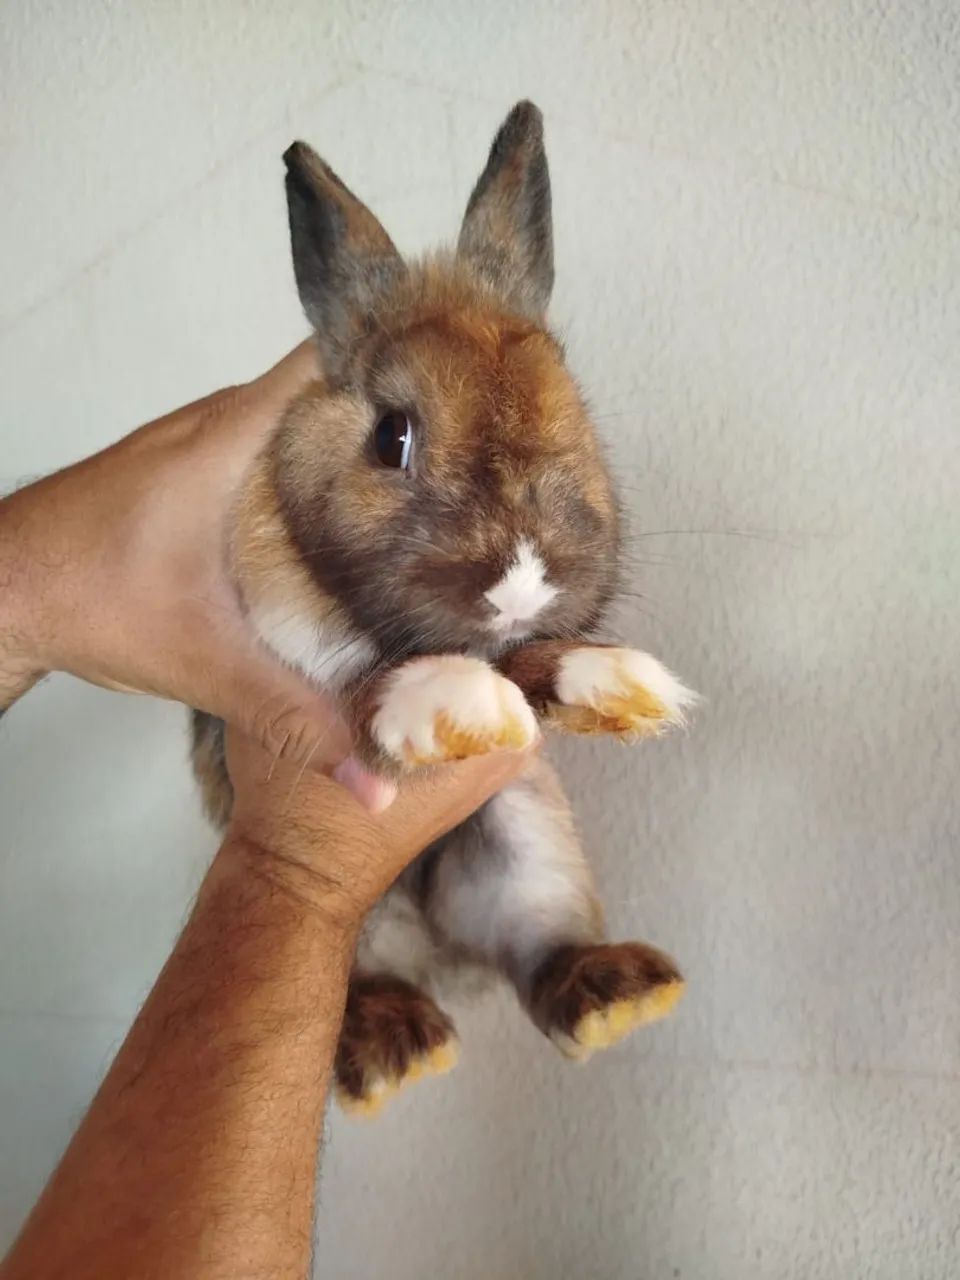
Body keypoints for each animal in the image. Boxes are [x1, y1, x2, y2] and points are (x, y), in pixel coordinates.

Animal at [192, 101, 696, 1116]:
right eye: (393, 435)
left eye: (573, 407)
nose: (522, 578)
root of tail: (438, 956)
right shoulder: (290, 659)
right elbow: (368, 689)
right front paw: (455, 703)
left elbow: (539, 662)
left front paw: (620, 685)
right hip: (368, 934)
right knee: (367, 989)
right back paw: (398, 1048)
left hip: (531, 850)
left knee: (539, 960)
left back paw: (617, 997)